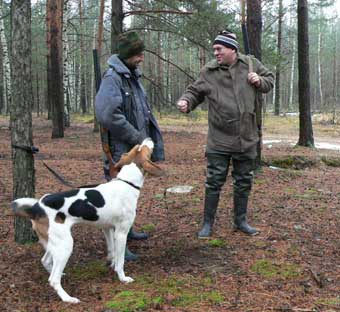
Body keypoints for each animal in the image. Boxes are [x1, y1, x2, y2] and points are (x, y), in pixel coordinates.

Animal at [10, 138, 165, 302]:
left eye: (138, 147)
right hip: (65, 245)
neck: (126, 182)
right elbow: (121, 259)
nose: (149, 138)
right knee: (53, 279)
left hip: (53, 243)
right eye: (144, 147)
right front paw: (122, 277)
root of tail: (37, 206)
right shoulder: (121, 233)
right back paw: (68, 298)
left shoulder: (108, 228)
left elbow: (112, 251)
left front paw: (111, 264)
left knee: (45, 261)